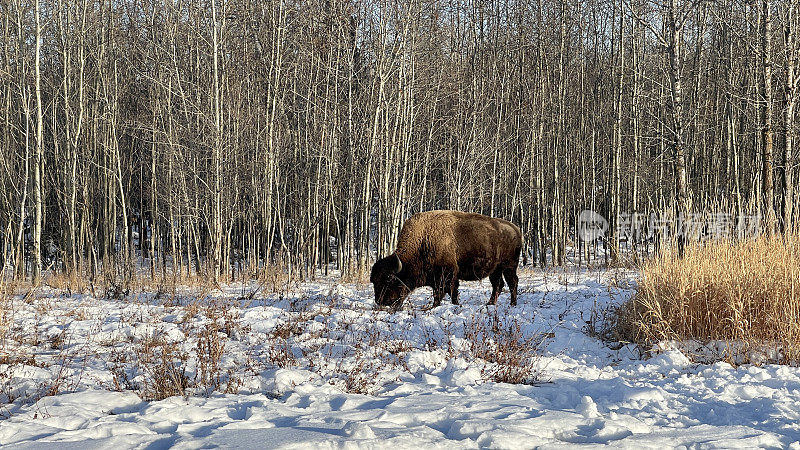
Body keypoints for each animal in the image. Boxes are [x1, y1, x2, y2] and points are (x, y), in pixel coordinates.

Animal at [370, 210, 524, 310]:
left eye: (389, 279)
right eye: (374, 281)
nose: (381, 301)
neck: (423, 241)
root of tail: (516, 229)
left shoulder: (445, 274)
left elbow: (443, 292)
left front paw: (435, 307)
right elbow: (452, 292)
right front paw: (455, 304)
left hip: (509, 266)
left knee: (512, 283)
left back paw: (512, 304)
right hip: (495, 270)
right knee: (498, 285)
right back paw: (490, 304)